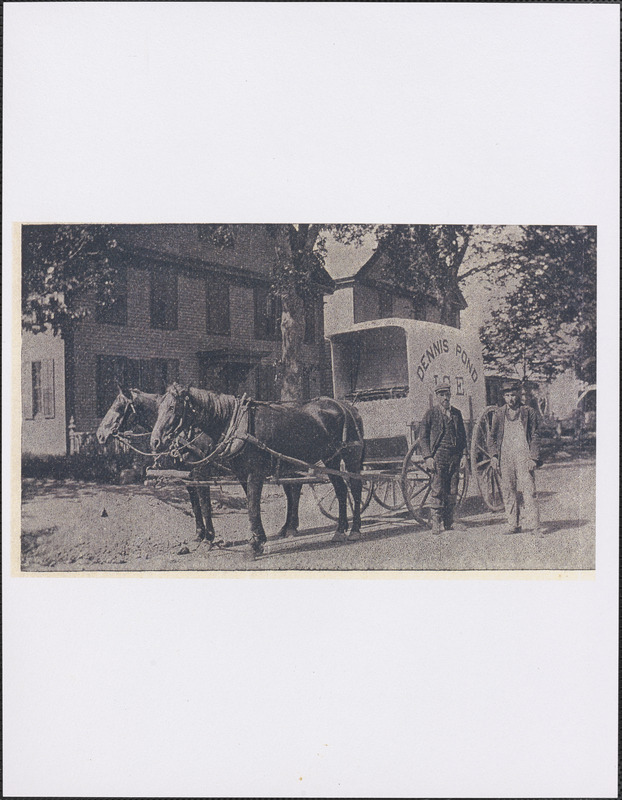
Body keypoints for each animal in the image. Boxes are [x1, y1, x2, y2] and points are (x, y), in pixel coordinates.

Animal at [97, 386, 219, 544]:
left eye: (118, 407)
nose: (100, 434)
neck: (187, 433)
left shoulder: (201, 472)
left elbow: (204, 504)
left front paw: (209, 537)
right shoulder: (187, 475)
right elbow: (195, 505)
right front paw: (199, 534)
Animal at [151, 384, 366, 552]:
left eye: (172, 407)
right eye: (158, 409)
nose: (155, 441)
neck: (236, 424)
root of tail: (347, 406)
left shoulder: (247, 473)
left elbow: (245, 505)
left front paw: (251, 544)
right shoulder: (239, 474)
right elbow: (244, 504)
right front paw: (258, 538)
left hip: (350, 457)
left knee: (354, 489)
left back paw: (354, 529)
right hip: (330, 459)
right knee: (340, 490)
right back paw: (338, 530)